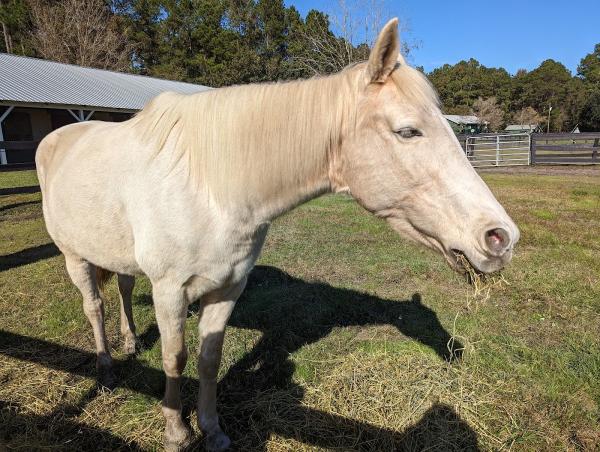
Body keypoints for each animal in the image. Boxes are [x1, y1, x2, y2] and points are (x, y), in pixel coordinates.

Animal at [35, 20, 516, 452]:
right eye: (408, 131)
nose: (500, 237)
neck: (212, 187)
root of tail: (56, 138)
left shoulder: (228, 287)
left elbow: (208, 359)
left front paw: (213, 432)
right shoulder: (170, 290)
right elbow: (175, 360)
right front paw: (177, 433)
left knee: (121, 286)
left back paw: (131, 342)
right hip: (74, 256)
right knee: (93, 306)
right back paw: (106, 369)